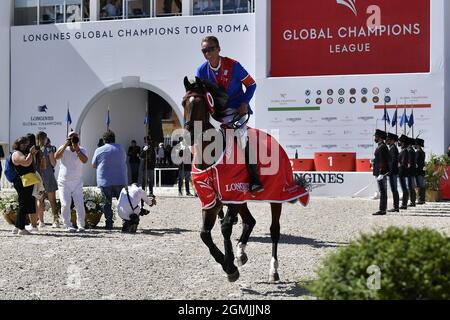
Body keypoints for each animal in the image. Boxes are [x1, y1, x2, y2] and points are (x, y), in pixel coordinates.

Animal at [183, 76, 310, 282]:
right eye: (183, 103)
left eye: (202, 103)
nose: (189, 136)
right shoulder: (212, 201)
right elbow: (205, 234)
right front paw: (228, 263)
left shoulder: (233, 193)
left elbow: (225, 228)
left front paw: (230, 266)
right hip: (243, 199)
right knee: (250, 221)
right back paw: (241, 252)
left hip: (276, 196)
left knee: (274, 230)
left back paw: (273, 270)